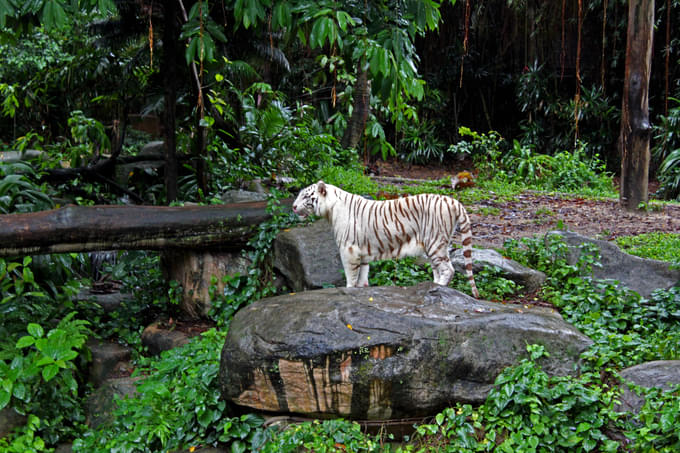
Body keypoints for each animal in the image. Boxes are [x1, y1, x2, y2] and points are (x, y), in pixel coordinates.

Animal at [290, 180, 478, 296]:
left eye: (305, 196)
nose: (293, 206)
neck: (330, 210)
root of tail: (452, 201)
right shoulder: (362, 252)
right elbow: (363, 274)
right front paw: (361, 288)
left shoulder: (348, 249)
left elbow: (351, 274)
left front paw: (349, 289)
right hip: (434, 245)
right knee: (438, 268)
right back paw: (432, 286)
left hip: (435, 242)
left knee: (448, 269)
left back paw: (438, 288)